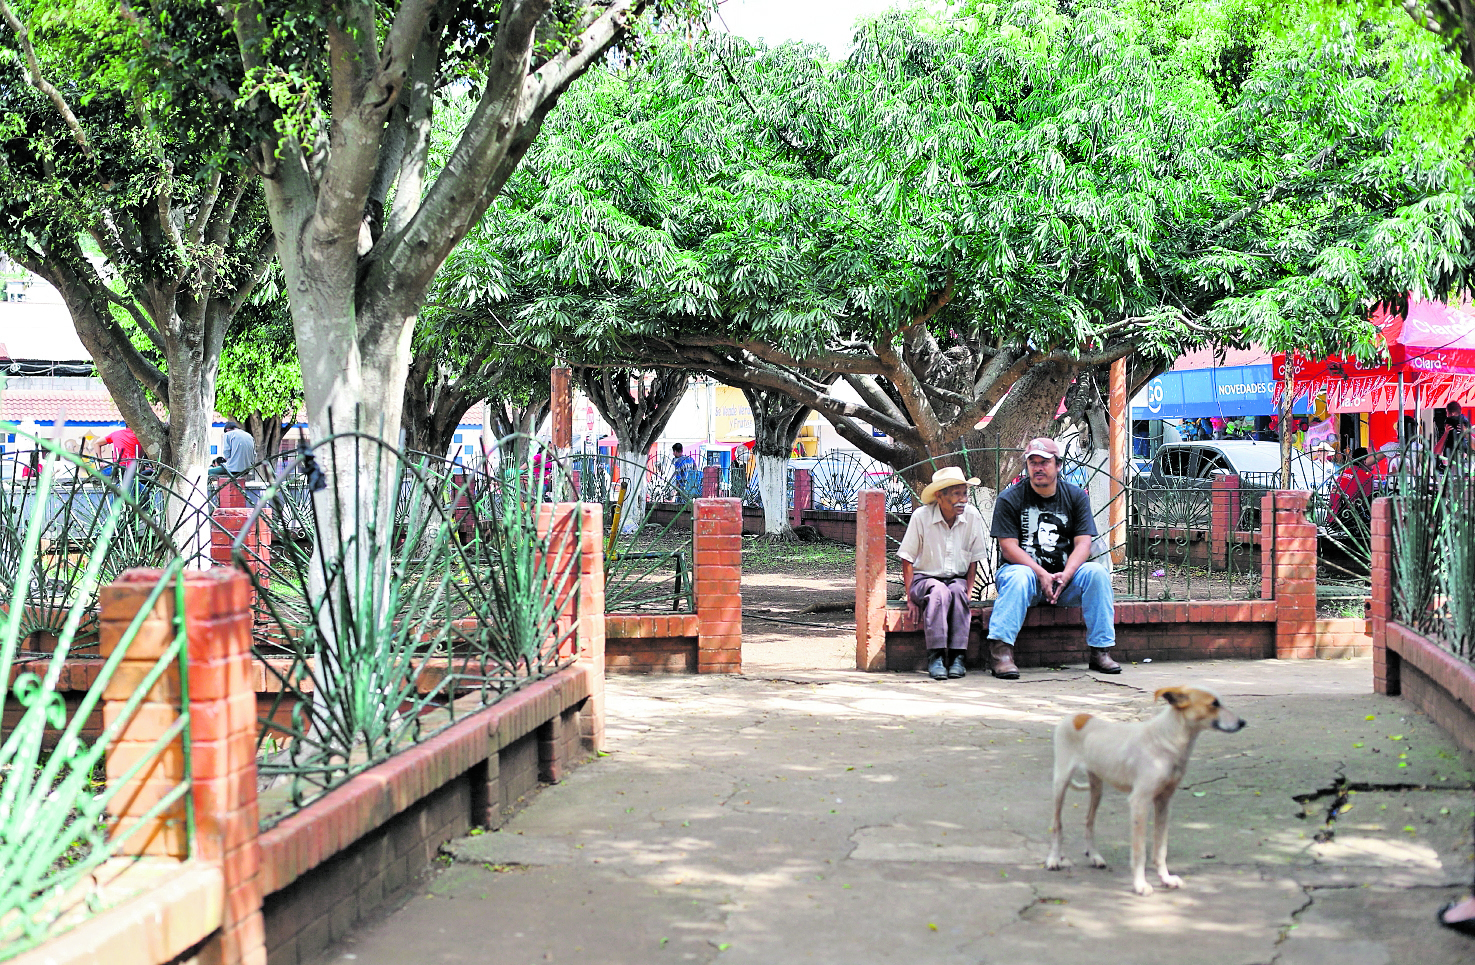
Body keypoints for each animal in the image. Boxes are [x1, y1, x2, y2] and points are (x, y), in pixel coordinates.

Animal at [1050, 687, 1244, 897]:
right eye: (1214, 704)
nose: (1243, 722)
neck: (1167, 739)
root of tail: (1076, 716)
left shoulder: (1164, 802)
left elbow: (1160, 850)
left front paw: (1166, 879)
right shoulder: (1139, 802)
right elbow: (1139, 852)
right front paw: (1140, 884)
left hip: (1097, 786)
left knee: (1088, 821)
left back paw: (1094, 856)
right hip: (1061, 783)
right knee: (1057, 824)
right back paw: (1054, 859)